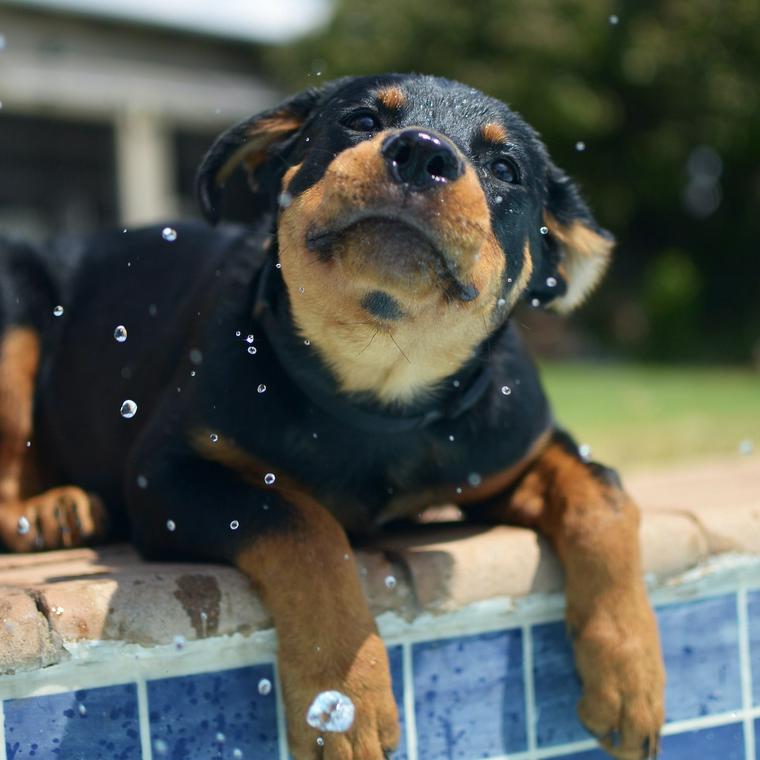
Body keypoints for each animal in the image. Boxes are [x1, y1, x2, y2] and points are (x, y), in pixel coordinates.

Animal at [0, 72, 664, 760]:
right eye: (361, 120)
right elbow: (305, 526)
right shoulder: (166, 477)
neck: (377, 388)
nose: (422, 154)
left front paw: (631, 674)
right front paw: (344, 700)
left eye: (505, 168)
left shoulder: (514, 450)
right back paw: (48, 511)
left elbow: (605, 495)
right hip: (14, 312)